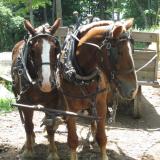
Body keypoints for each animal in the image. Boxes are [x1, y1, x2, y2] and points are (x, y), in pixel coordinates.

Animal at [11, 18, 61, 159]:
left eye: (55, 49)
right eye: (32, 50)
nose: (46, 83)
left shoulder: (52, 103)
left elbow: (50, 127)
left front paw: (53, 152)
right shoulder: (25, 103)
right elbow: (28, 125)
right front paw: (28, 151)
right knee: (26, 122)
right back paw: (30, 140)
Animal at [58, 19, 138, 160]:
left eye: (132, 50)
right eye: (119, 53)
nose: (133, 90)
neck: (81, 74)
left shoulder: (101, 105)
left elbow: (102, 137)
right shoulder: (69, 109)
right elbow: (72, 140)